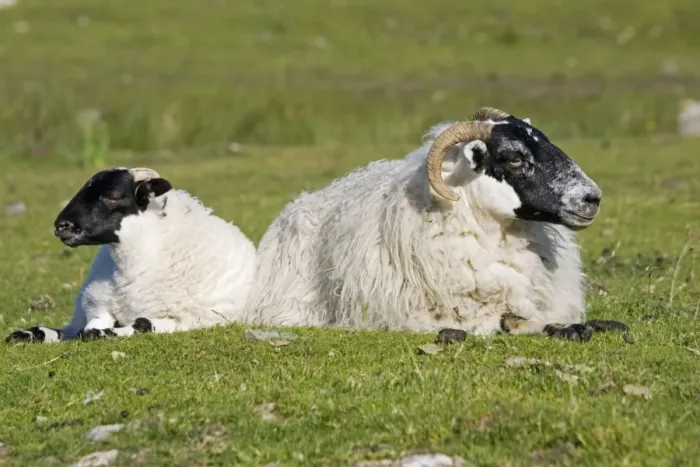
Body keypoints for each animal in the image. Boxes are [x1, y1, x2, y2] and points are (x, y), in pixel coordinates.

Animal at [6, 167, 257, 343]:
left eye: (113, 195)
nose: (62, 226)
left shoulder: (186, 320)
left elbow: (141, 325)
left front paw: (104, 334)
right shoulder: (96, 301)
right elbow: (92, 323)